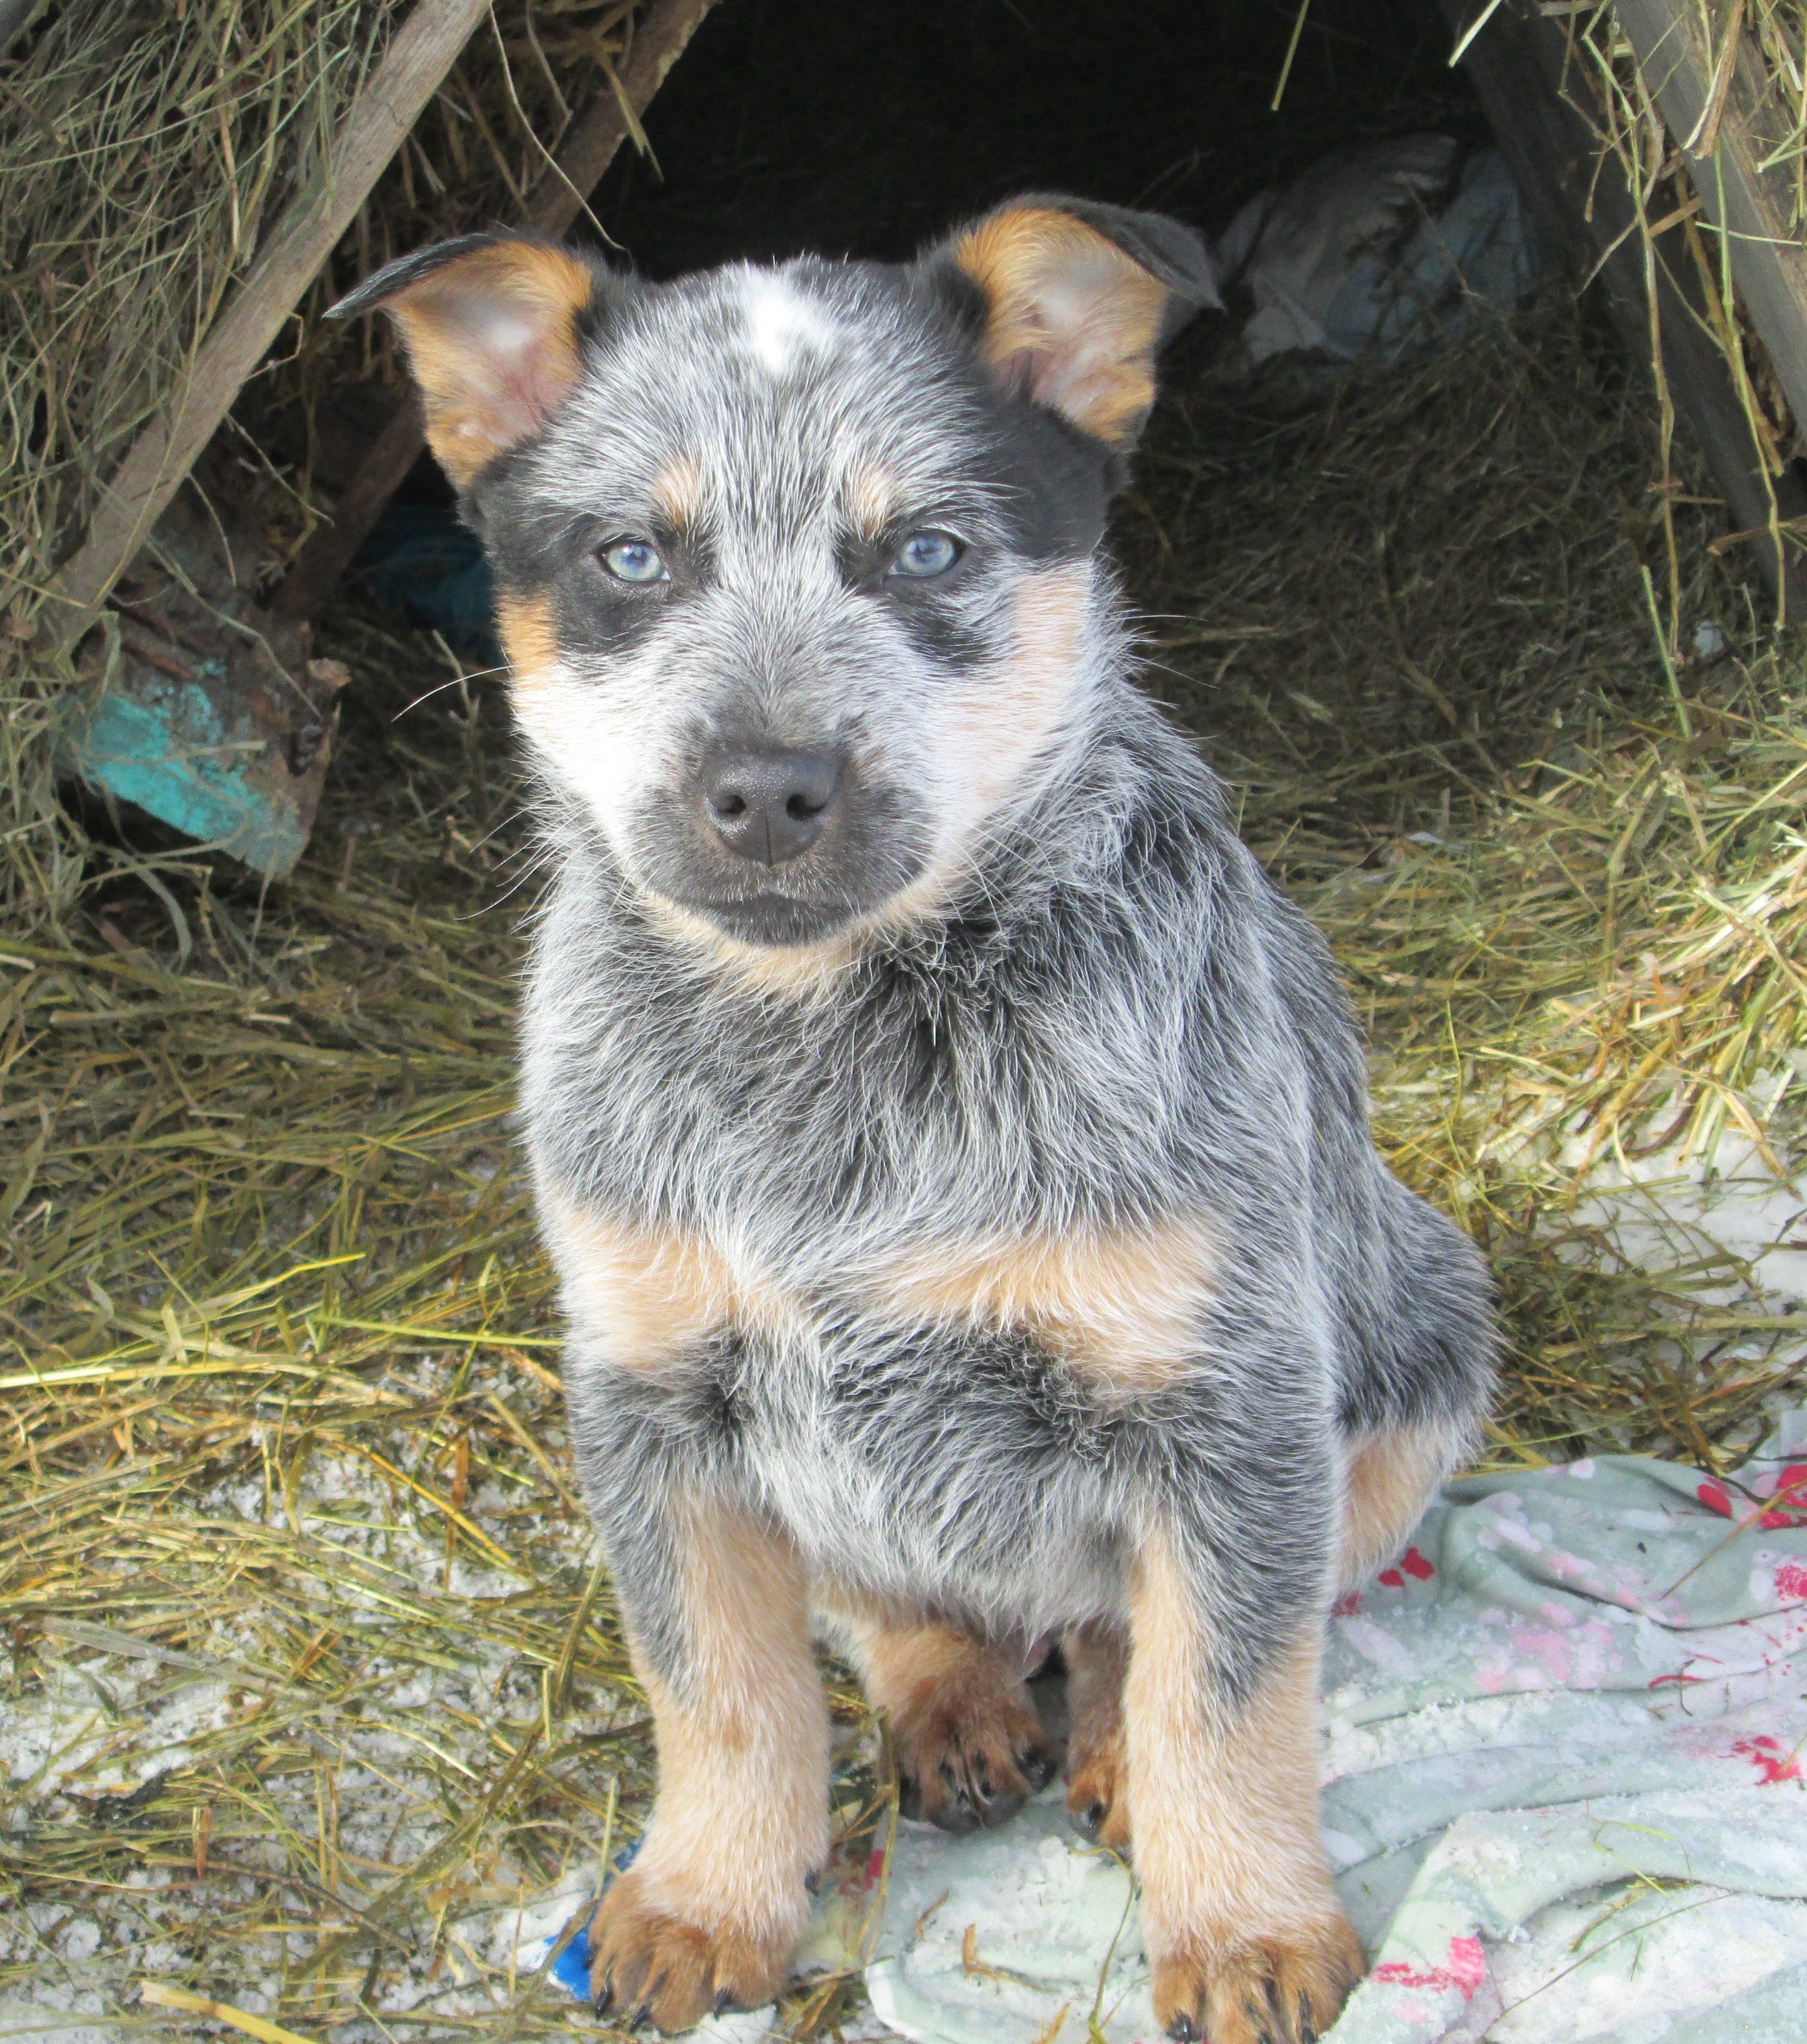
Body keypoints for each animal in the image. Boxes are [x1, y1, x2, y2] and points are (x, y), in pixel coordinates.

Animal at [339, 199, 1496, 2044]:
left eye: (928, 552)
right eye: (630, 560)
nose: (764, 788)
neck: (830, 1039)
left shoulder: (1229, 1395)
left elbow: (1225, 1691)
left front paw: (1245, 1927)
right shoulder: (651, 1397)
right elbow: (719, 1688)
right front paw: (701, 1898)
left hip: (1422, 1349)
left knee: (1135, 1629)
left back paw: (1101, 1749)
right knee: (896, 1604)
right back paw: (951, 1704)